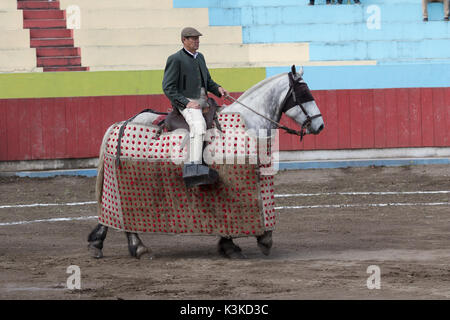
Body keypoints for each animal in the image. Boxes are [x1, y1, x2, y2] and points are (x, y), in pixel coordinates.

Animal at [88, 66, 326, 258]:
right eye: (303, 93)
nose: (320, 125)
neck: (247, 122)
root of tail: (120, 124)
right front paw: (249, 243)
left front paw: (233, 245)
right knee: (120, 214)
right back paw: (137, 248)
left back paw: (101, 243)